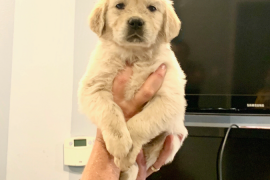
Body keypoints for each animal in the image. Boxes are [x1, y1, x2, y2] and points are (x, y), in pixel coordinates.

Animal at [78, 0, 188, 179]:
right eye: (119, 6)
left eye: (152, 8)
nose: (136, 22)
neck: (134, 54)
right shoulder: (93, 87)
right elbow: (110, 112)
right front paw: (119, 144)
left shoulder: (169, 97)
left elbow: (141, 123)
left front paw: (127, 153)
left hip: (172, 139)